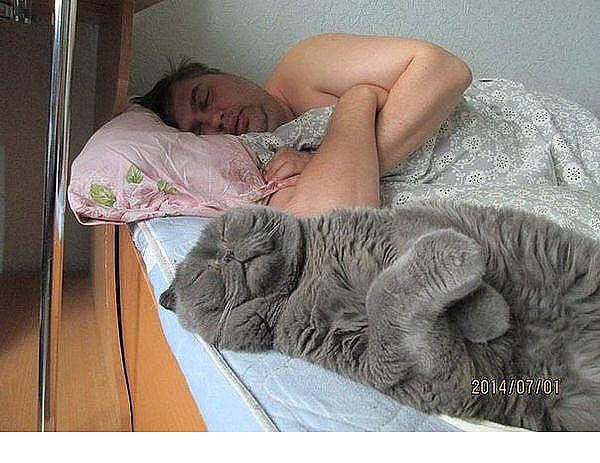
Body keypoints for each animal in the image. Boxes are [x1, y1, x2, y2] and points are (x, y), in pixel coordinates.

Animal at [160, 202, 600, 431]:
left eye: (223, 234)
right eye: (202, 273)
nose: (228, 255)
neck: (306, 277)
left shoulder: (408, 225)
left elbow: (397, 270)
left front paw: (486, 308)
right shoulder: (407, 371)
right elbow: (382, 297)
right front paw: (490, 315)